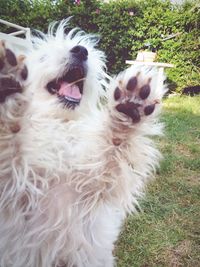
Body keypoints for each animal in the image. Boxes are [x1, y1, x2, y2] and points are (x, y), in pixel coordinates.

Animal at [0, 21, 166, 267]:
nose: (81, 51)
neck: (60, 123)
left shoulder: (94, 183)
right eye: (43, 57)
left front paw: (128, 110)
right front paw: (10, 100)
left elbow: (112, 150)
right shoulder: (15, 189)